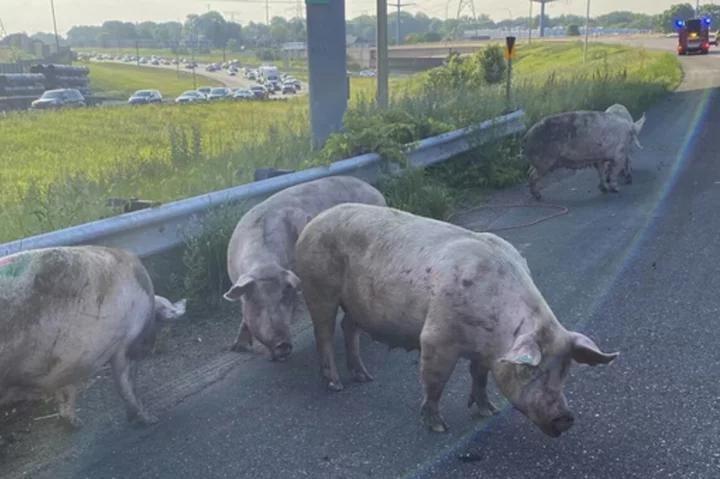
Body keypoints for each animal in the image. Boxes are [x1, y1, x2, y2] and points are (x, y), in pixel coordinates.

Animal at [0, 246, 188, 430]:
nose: (150, 344)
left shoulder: (65, 363)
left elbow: (67, 391)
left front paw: (74, 424)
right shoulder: (126, 344)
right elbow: (125, 383)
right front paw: (150, 419)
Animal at [224, 175, 388, 360]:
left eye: (285, 297)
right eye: (256, 302)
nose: (282, 345)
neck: (264, 265)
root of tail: (375, 191)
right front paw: (237, 348)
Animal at [292, 204, 620, 436]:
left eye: (566, 371)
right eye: (532, 371)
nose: (566, 418)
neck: (494, 338)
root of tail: (312, 222)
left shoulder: (483, 351)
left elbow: (480, 378)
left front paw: (489, 411)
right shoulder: (436, 338)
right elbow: (434, 382)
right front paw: (439, 427)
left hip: (354, 304)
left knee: (348, 327)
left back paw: (364, 377)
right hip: (318, 287)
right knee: (323, 333)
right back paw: (336, 385)